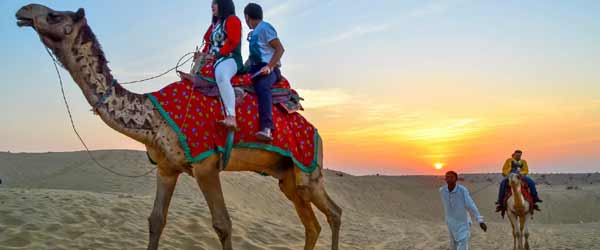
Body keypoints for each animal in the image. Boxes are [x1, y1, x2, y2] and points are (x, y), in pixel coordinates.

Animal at [15, 3, 342, 250]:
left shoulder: (205, 164)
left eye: (54, 15)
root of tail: (317, 132)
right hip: (287, 177)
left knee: (334, 213)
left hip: (308, 170)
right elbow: (156, 220)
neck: (153, 117)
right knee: (312, 225)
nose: (24, 10)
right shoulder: (166, 168)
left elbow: (223, 224)